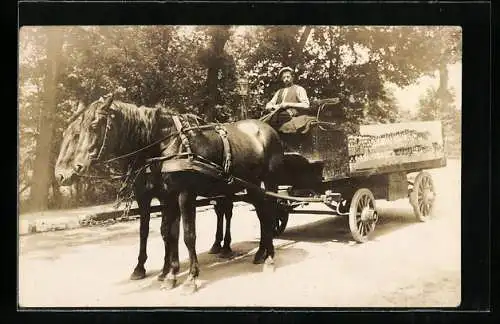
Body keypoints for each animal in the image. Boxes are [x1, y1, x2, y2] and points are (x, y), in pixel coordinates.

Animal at [56, 94, 284, 292]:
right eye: (72, 132)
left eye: (93, 126)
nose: (62, 174)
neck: (163, 145)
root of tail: (267, 129)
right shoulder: (164, 196)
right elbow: (167, 233)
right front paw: (169, 274)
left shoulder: (185, 195)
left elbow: (188, 235)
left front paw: (190, 278)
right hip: (251, 185)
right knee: (262, 214)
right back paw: (260, 253)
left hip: (270, 182)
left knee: (269, 213)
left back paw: (269, 258)